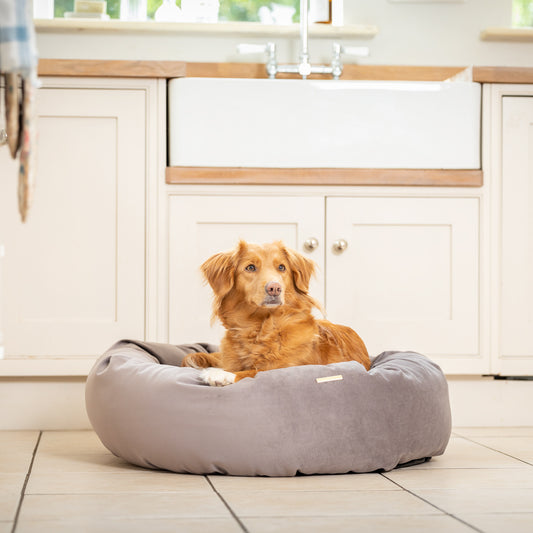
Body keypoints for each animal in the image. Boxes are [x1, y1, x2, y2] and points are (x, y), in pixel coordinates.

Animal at [181, 241, 368, 386]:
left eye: (281, 267)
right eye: (250, 267)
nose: (274, 288)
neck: (259, 327)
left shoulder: (292, 366)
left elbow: (256, 371)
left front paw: (222, 374)